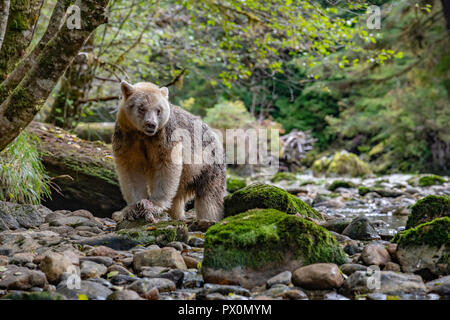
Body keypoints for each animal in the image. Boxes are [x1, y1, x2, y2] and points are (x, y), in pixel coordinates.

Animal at [112, 80, 225, 222]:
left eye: (158, 110)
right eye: (141, 108)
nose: (151, 124)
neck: (144, 136)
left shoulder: (166, 137)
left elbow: (166, 167)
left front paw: (154, 205)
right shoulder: (127, 138)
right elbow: (131, 170)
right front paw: (132, 208)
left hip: (208, 165)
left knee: (209, 197)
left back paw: (207, 218)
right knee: (177, 197)